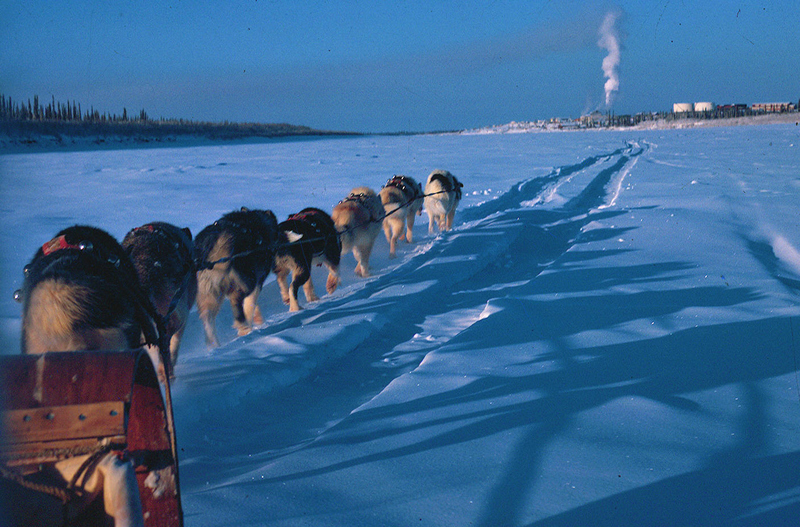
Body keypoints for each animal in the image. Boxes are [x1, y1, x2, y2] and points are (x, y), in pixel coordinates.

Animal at [195, 208, 280, 348]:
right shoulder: (258, 281)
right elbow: (250, 304)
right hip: (245, 282)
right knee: (236, 303)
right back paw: (244, 328)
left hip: (209, 293)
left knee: (207, 319)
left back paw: (214, 345)